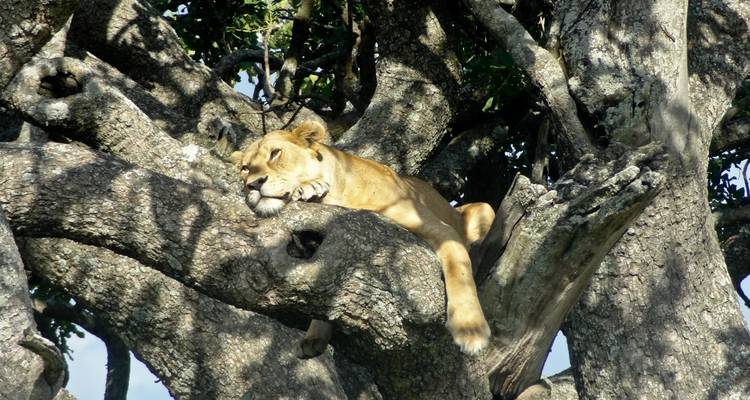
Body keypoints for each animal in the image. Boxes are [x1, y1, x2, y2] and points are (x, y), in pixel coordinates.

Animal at [230, 121, 494, 355]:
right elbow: (327, 292)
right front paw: (315, 337)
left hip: (485, 208)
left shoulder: (440, 229)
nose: (253, 184)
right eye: (245, 168)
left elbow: (459, 270)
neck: (337, 195)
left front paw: (471, 330)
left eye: (275, 153)